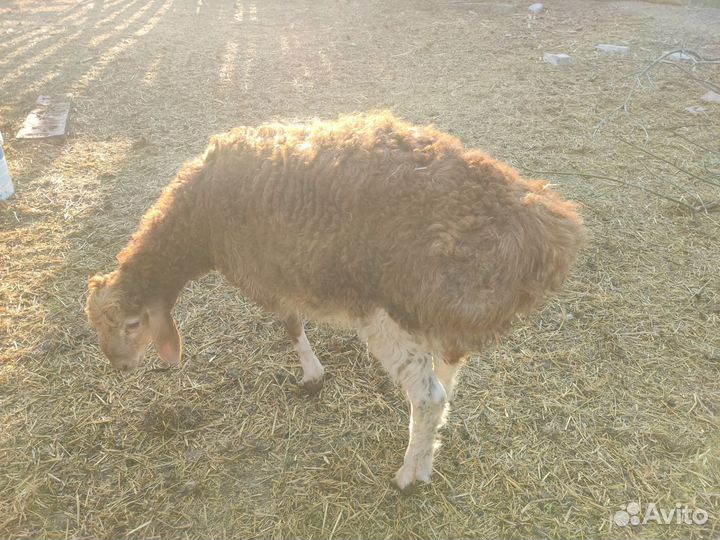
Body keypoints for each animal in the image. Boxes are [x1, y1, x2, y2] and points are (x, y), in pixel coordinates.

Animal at [86, 111, 586, 492]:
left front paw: (312, 375)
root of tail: (541, 229)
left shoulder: (272, 279)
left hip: (389, 312)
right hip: (434, 310)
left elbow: (291, 325)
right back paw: (425, 458)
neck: (200, 219)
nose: (120, 367)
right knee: (447, 377)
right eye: (98, 326)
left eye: (132, 324)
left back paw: (407, 476)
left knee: (428, 396)